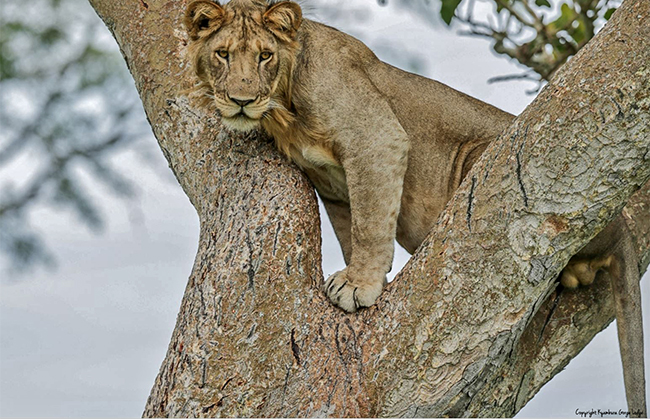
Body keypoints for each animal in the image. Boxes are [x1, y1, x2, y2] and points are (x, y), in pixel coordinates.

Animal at [182, 0, 644, 414]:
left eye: (265, 56)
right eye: (223, 54)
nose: (241, 100)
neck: (283, 108)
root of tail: (623, 223)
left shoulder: (375, 137)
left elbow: (370, 224)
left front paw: (358, 286)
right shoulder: (332, 188)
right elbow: (354, 228)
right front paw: (367, 277)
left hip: (483, 157)